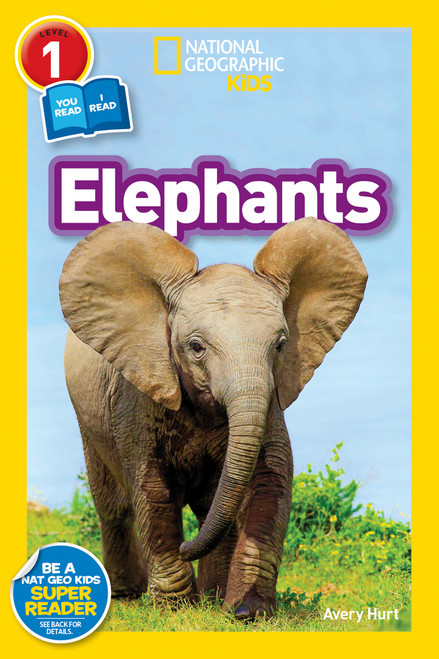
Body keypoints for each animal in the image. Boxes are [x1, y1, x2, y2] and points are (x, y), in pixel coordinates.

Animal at [59, 216, 367, 620]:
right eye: (196, 347)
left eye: (281, 345)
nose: (187, 546)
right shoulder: (136, 393)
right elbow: (152, 487)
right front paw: (173, 609)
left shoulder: (269, 400)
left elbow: (270, 478)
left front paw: (248, 612)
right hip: (88, 416)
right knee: (113, 503)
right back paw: (127, 594)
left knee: (210, 506)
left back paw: (212, 594)